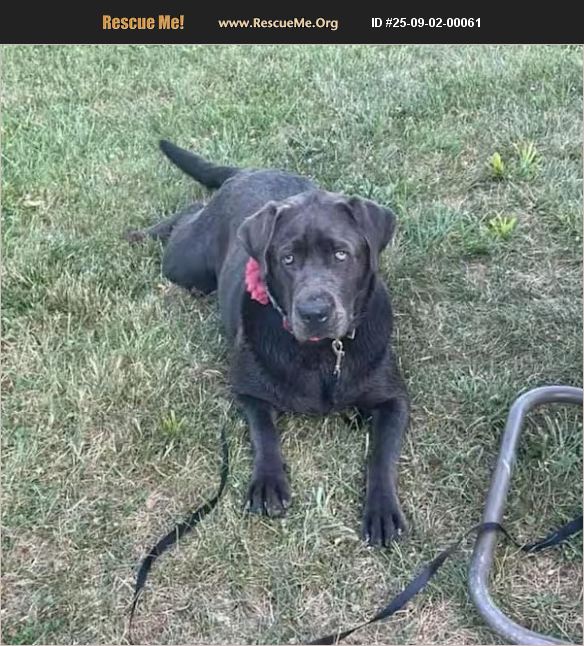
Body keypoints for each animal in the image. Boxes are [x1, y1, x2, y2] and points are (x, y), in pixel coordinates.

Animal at [127, 140, 410, 547]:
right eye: (287, 258)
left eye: (341, 254)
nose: (314, 312)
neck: (322, 354)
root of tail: (247, 171)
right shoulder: (248, 391)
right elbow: (264, 431)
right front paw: (268, 481)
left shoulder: (394, 398)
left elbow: (382, 455)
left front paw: (382, 509)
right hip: (184, 263)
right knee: (189, 217)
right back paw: (145, 232)